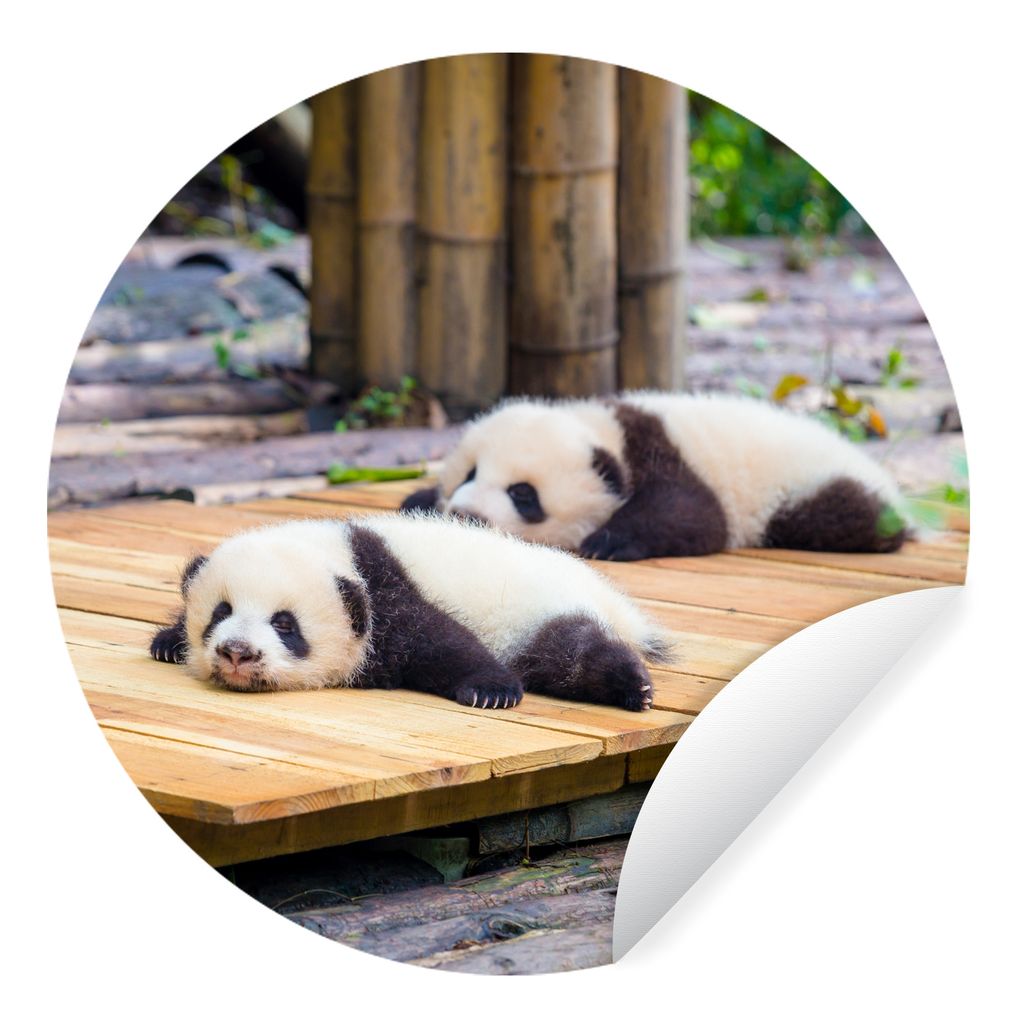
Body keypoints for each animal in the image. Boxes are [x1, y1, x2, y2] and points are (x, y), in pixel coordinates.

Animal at [149, 512, 671, 712]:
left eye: (284, 624)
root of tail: (604, 593)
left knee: (571, 652)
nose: (238, 652)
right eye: (220, 612)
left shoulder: (388, 594)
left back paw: (633, 686)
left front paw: (491, 691)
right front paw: (168, 642)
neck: (338, 550)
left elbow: (443, 641)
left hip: (541, 609)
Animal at [401, 392, 909, 561]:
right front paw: (418, 501)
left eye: (523, 495)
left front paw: (609, 541)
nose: (466, 513)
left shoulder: (667, 457)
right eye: (469, 473)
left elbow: (694, 515)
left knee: (843, 515)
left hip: (808, 488)